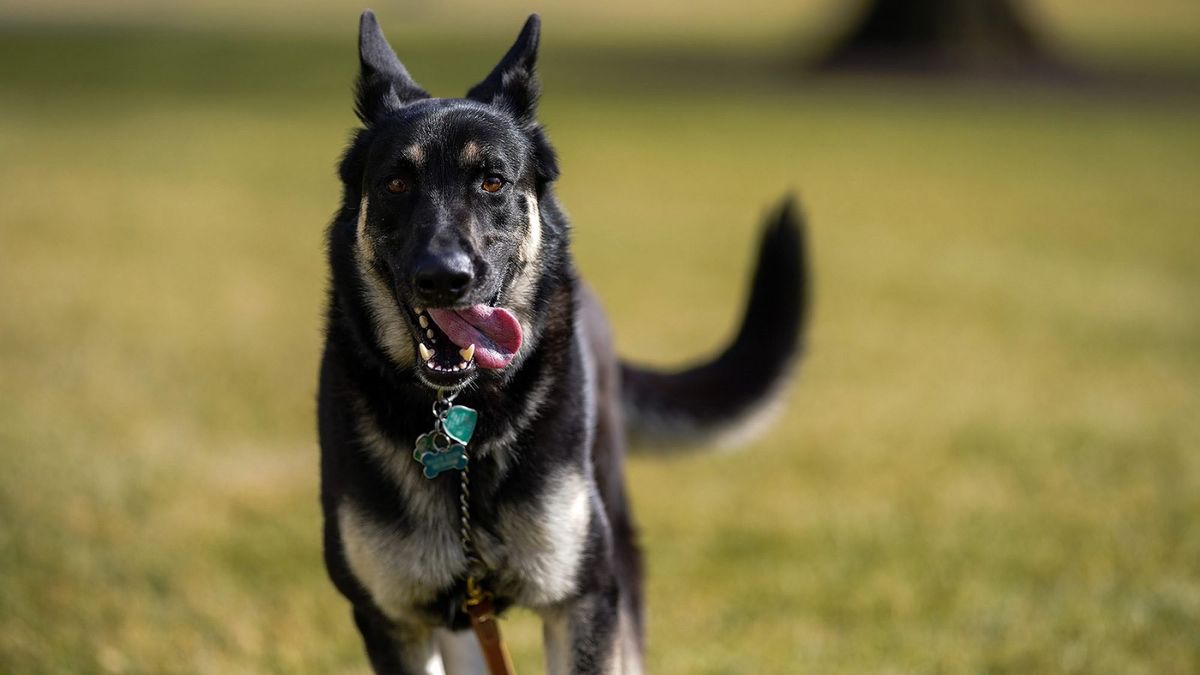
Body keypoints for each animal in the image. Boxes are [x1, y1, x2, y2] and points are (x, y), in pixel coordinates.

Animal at [316, 11, 806, 672]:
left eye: (492, 182)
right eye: (395, 184)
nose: (443, 277)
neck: (465, 423)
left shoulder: (584, 600)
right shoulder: (393, 621)